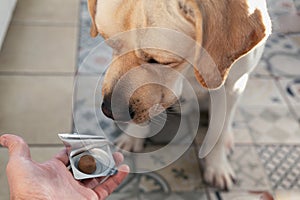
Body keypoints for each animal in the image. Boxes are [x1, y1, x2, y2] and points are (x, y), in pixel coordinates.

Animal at [86, 0, 272, 189]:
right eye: (107, 42)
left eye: (159, 61)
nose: (108, 110)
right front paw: (132, 138)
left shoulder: (231, 87)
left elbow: (217, 134)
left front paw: (217, 167)